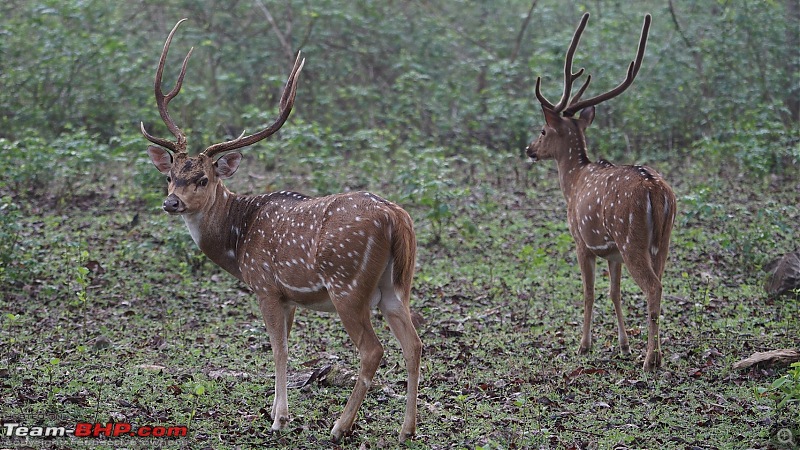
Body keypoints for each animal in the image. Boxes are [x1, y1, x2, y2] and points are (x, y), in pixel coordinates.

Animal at [141, 19, 422, 442]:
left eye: (203, 179)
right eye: (171, 176)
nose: (171, 203)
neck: (238, 239)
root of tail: (396, 218)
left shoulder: (266, 286)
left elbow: (278, 348)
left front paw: (279, 419)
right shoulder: (289, 297)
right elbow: (286, 345)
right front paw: (275, 410)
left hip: (348, 284)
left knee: (373, 349)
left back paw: (340, 427)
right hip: (396, 285)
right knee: (414, 344)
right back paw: (406, 430)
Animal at [524, 13, 676, 372]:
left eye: (543, 130)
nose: (529, 149)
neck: (574, 182)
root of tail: (655, 189)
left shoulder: (582, 241)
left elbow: (589, 292)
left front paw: (583, 345)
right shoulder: (612, 252)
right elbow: (614, 292)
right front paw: (623, 345)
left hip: (631, 237)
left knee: (653, 286)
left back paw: (651, 359)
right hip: (661, 241)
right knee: (660, 283)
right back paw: (656, 352)